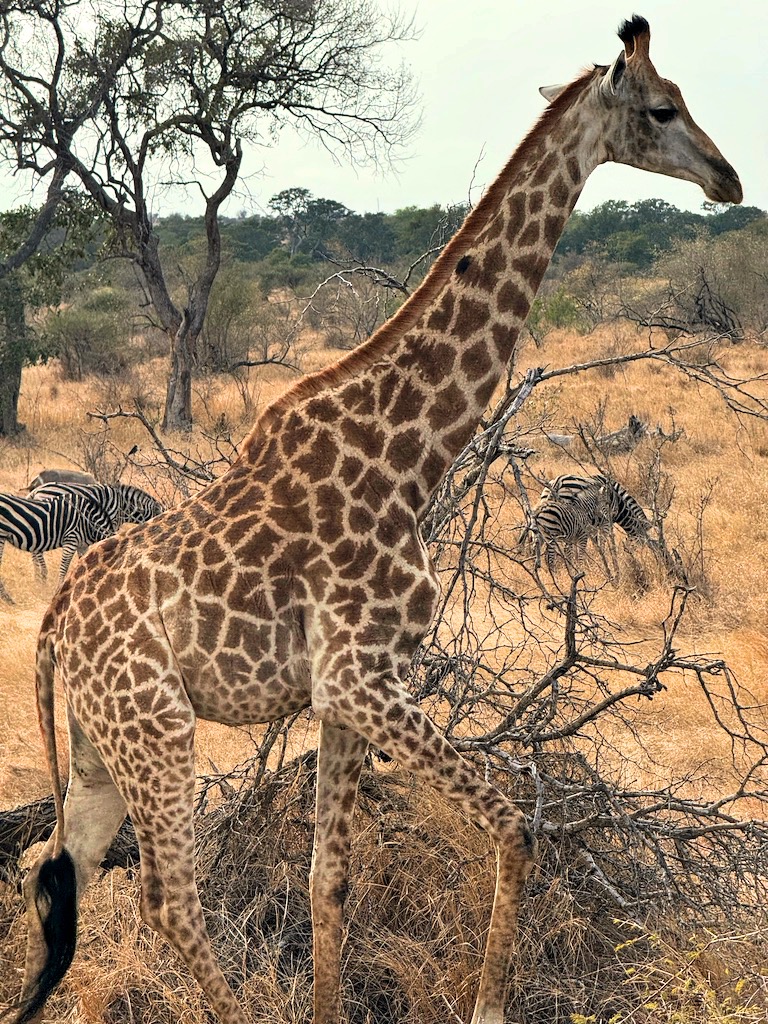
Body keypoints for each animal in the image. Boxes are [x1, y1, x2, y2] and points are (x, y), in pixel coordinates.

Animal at [15, 16, 741, 1024]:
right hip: (156, 727)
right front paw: (487, 1007)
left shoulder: (343, 695)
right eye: (664, 107)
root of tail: (53, 627)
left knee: (52, 871)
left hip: (96, 746)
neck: (410, 458)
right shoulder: (364, 678)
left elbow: (330, 879)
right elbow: (514, 822)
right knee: (165, 896)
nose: (729, 179)